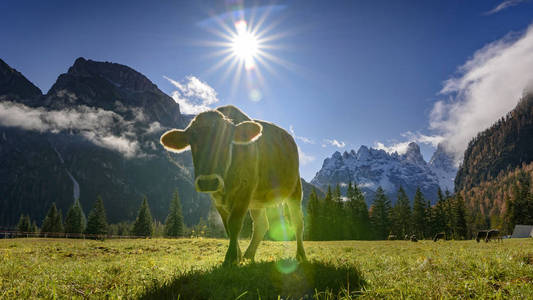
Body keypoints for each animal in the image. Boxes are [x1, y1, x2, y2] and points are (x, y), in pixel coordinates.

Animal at [160, 105, 306, 264]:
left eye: (227, 140)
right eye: (193, 140)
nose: (208, 181)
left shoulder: (245, 191)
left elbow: (234, 224)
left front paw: (230, 258)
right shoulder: (217, 199)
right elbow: (227, 227)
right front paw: (237, 256)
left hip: (295, 190)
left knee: (298, 222)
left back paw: (301, 255)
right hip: (257, 201)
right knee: (261, 225)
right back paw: (248, 256)